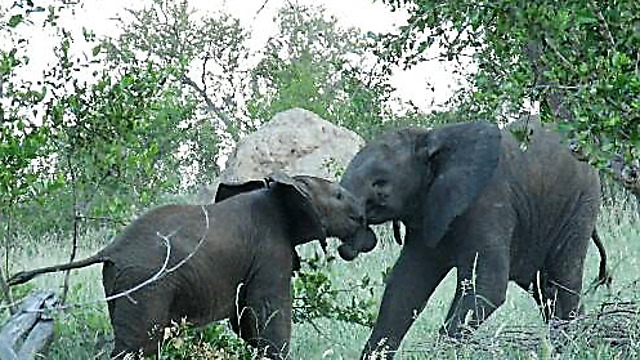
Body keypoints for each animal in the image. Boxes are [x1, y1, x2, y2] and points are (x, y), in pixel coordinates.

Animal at [8, 173, 376, 358]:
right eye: (339, 195)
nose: (364, 235)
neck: (281, 188)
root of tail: (112, 248)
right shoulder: (270, 253)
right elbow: (269, 316)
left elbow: (246, 321)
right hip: (145, 283)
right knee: (138, 345)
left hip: (119, 281)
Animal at [340, 120, 608, 358]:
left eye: (380, 185)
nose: (350, 246)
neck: (430, 138)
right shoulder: (427, 210)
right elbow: (405, 287)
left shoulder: (487, 203)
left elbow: (487, 286)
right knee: (546, 290)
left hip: (580, 205)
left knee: (563, 279)